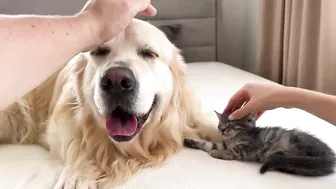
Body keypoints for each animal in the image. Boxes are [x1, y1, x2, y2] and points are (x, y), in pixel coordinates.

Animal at [0, 18, 218, 188]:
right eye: (100, 51)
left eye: (149, 53)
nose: (116, 82)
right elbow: (77, 145)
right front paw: (78, 174)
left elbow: (207, 125)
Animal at [184, 110, 336, 176]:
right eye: (220, 125)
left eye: (231, 125)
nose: (222, 130)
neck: (235, 138)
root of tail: (330, 156)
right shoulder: (225, 143)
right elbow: (209, 144)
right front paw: (190, 141)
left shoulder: (248, 146)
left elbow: (231, 151)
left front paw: (219, 153)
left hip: (297, 139)